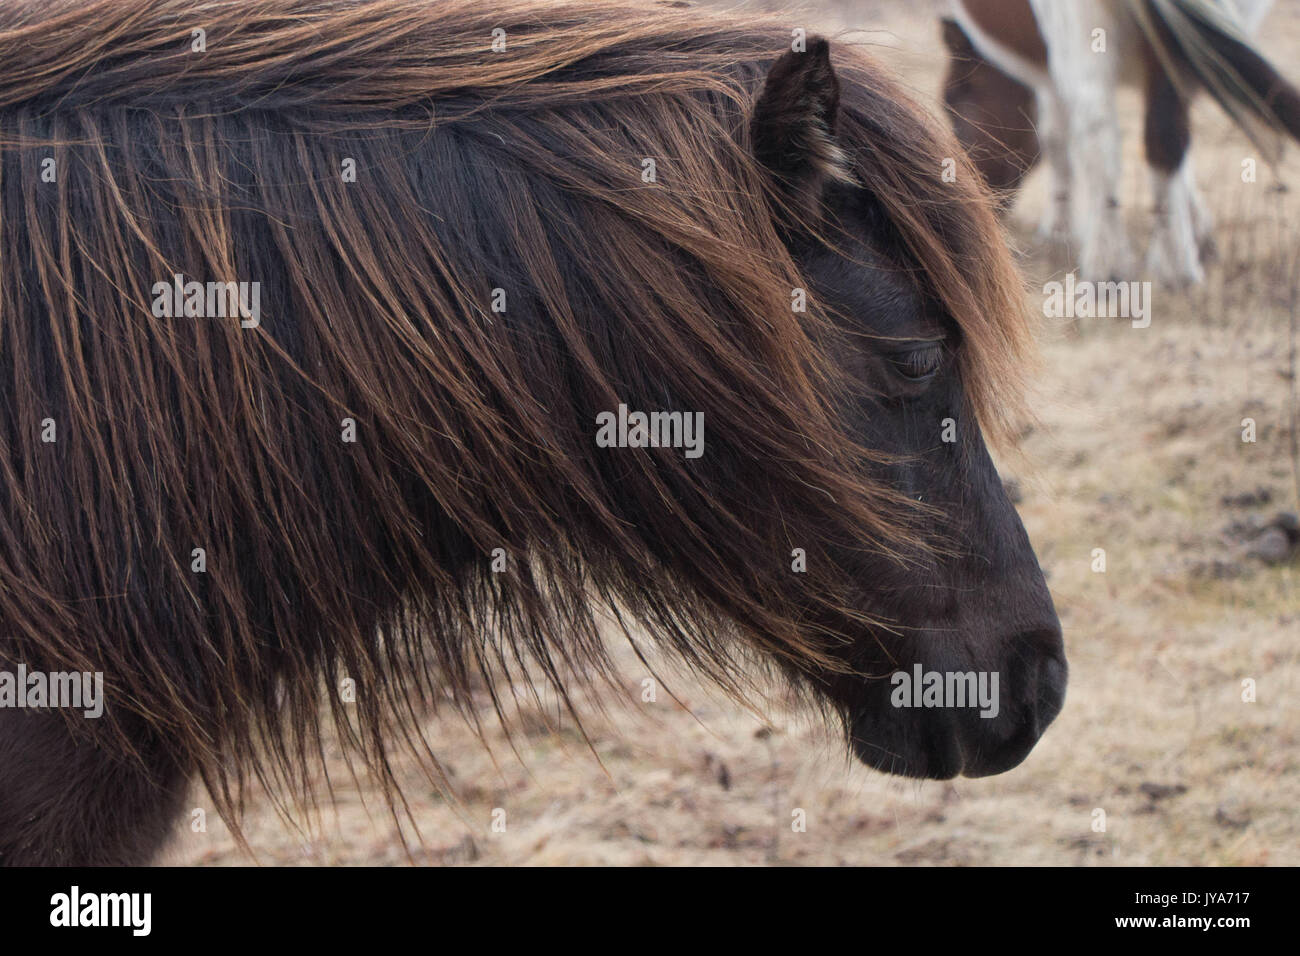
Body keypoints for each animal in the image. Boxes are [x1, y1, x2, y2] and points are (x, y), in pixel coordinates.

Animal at [946, 0, 1300, 283]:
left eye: (951, 102)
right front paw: (1199, 236)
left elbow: (1057, 137)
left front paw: (1059, 230)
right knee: (1163, 136)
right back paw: (1173, 267)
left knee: (1098, 132)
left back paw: (1109, 267)